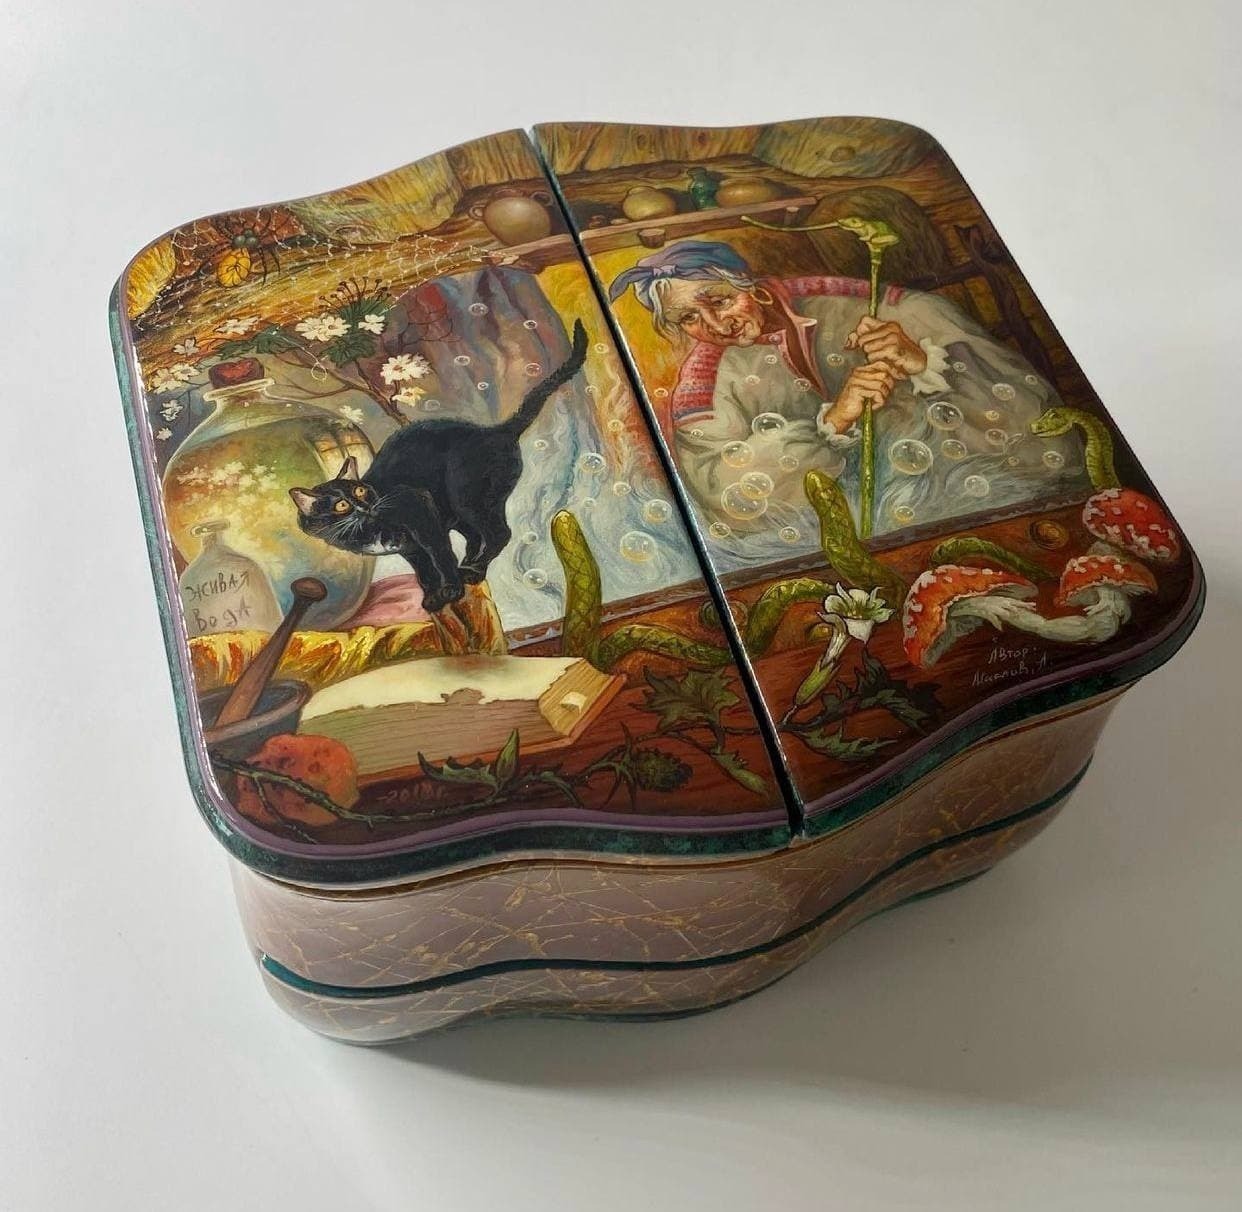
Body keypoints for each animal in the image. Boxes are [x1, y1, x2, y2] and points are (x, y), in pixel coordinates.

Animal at [290, 319, 588, 612]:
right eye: (341, 505)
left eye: (360, 492)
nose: (364, 506)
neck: (366, 530)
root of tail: (496, 431)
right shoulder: (410, 547)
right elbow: (425, 571)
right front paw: (434, 597)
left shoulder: (419, 509)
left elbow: (441, 555)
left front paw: (452, 590)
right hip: (457, 509)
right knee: (476, 537)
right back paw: (469, 565)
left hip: (467, 497)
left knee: (499, 533)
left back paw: (473, 572)